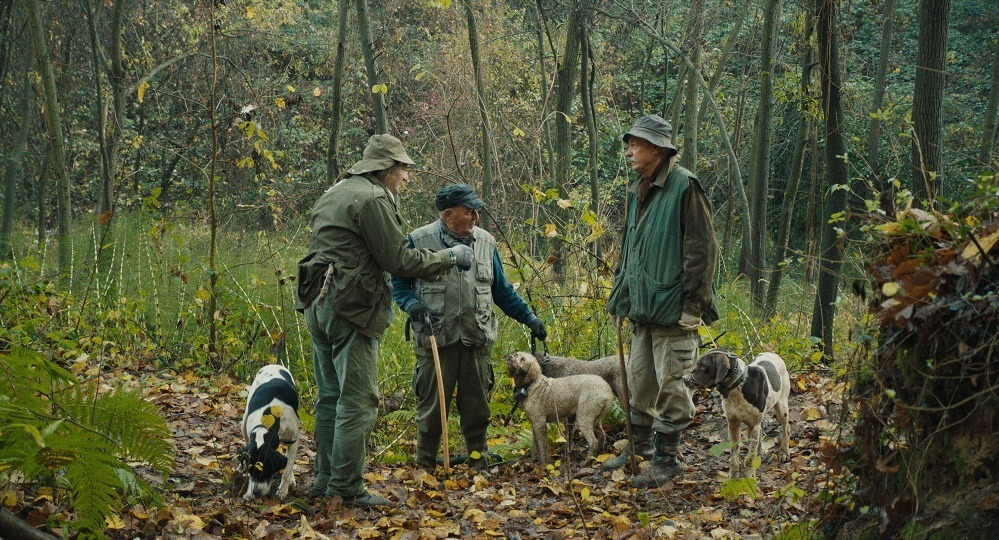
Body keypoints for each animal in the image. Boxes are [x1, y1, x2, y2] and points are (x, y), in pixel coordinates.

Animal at [239, 364, 298, 500]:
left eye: (266, 470)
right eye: (250, 470)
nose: (256, 492)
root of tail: (274, 364)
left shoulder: (294, 440)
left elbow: (288, 468)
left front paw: (282, 490)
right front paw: (248, 492)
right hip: (244, 422)